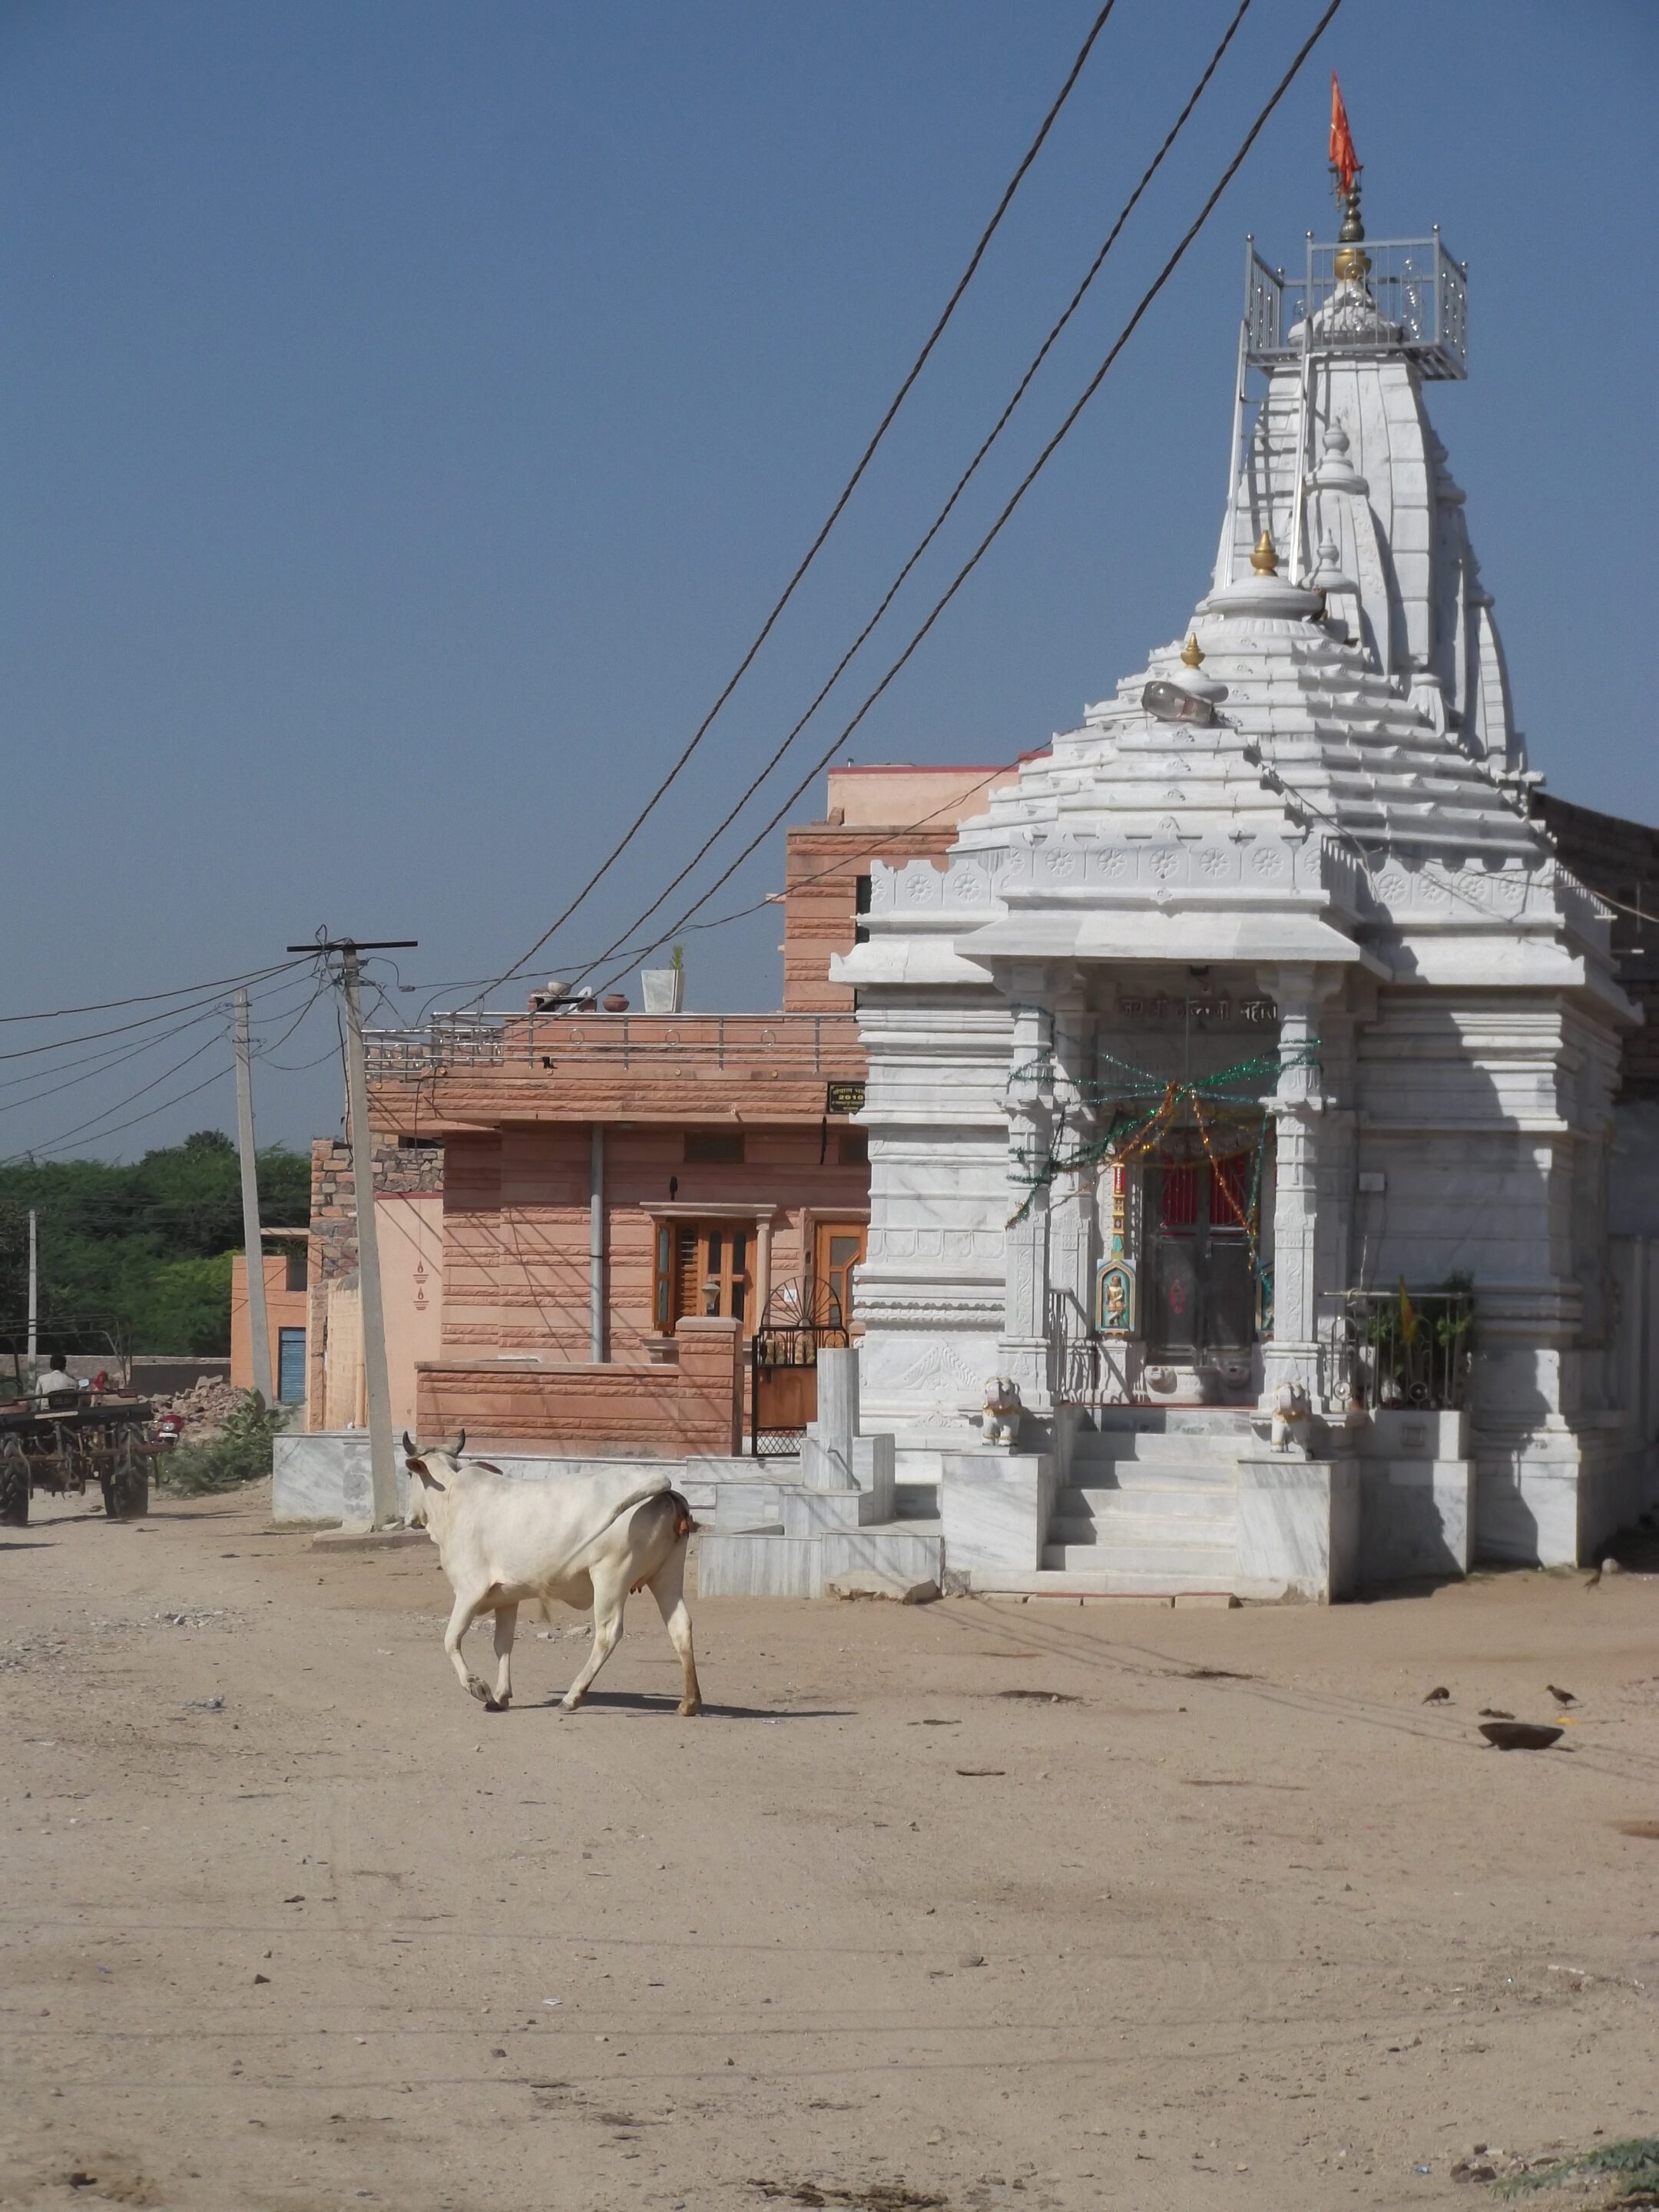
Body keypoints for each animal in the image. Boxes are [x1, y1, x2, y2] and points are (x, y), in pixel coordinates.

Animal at [409, 1433, 707, 1725]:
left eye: (410, 1474)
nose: (409, 1517)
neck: (450, 1499)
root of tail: (664, 1489)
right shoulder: (507, 1597)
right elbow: (502, 1644)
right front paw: (500, 1696)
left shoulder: (469, 1590)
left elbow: (451, 1639)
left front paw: (476, 1686)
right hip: (667, 1576)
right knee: (680, 1626)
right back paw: (689, 1702)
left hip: (610, 1576)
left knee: (608, 1633)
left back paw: (572, 1696)